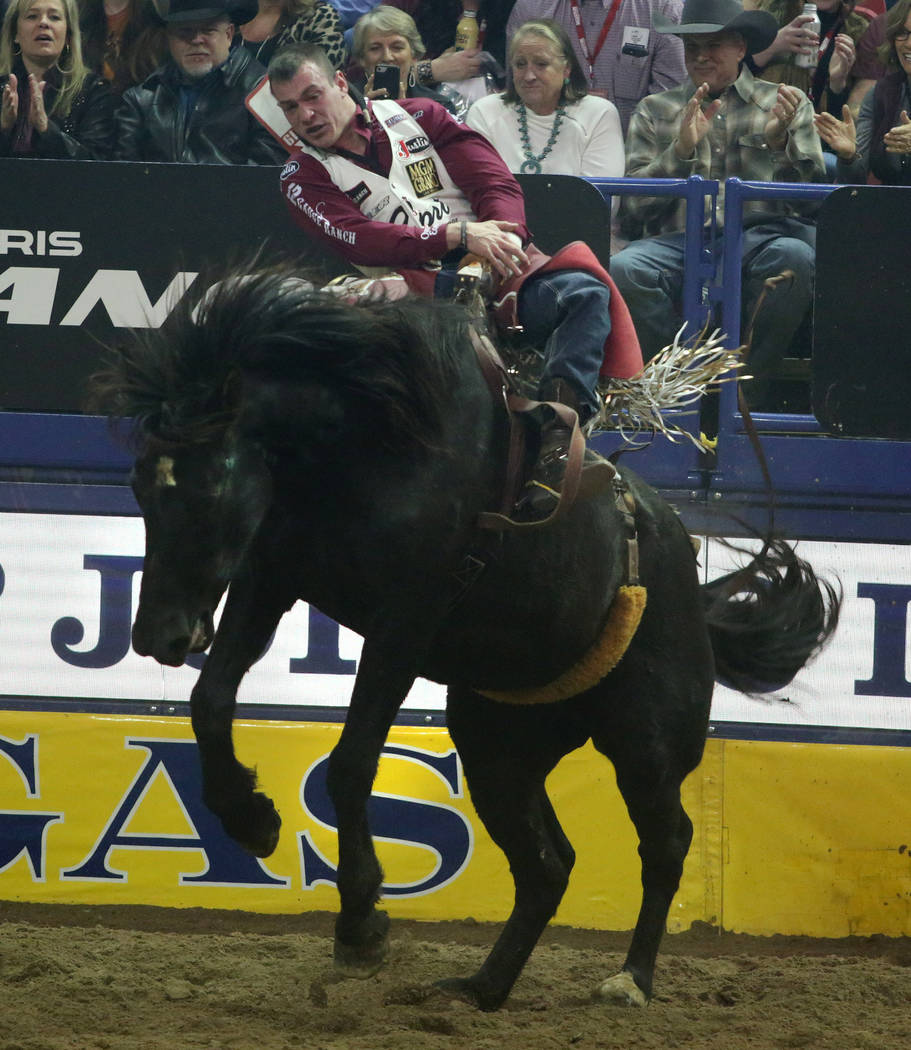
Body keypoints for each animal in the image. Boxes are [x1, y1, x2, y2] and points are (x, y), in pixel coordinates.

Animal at [92, 268, 839, 1007]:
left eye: (213, 485)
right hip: (497, 746)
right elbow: (210, 702)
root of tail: (683, 568)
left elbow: (350, 762)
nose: (157, 635)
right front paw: (251, 819)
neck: (366, 443)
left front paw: (360, 926)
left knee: (666, 842)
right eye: (140, 485)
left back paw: (629, 978)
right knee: (546, 865)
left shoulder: (406, 620)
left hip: (647, 739)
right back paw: (482, 987)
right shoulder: (269, 581)